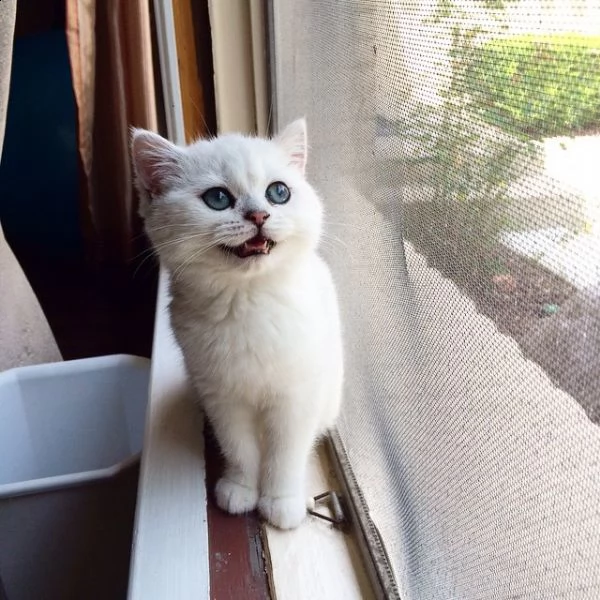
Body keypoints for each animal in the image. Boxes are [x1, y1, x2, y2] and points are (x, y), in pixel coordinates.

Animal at [134, 119, 344, 528]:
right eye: (217, 198)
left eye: (278, 192)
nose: (259, 216)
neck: (248, 301)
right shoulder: (222, 398)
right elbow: (240, 448)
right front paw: (241, 489)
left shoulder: (295, 398)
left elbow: (285, 455)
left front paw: (280, 501)